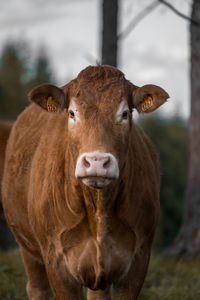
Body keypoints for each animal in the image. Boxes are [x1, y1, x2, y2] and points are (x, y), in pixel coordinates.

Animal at [2, 66, 169, 300]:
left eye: (125, 113)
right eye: (72, 113)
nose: (97, 161)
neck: (98, 207)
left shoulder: (139, 259)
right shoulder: (57, 263)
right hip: (26, 245)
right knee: (37, 288)